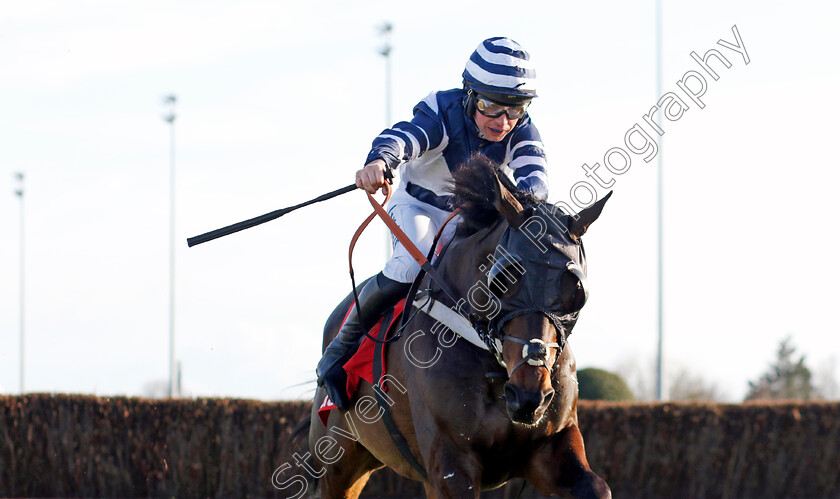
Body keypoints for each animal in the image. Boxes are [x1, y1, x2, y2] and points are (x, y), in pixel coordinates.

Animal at [306, 157, 612, 499]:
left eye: (577, 290)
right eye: (503, 278)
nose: (528, 395)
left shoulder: (550, 446)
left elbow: (597, 487)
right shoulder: (451, 459)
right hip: (337, 462)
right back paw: (331, 366)